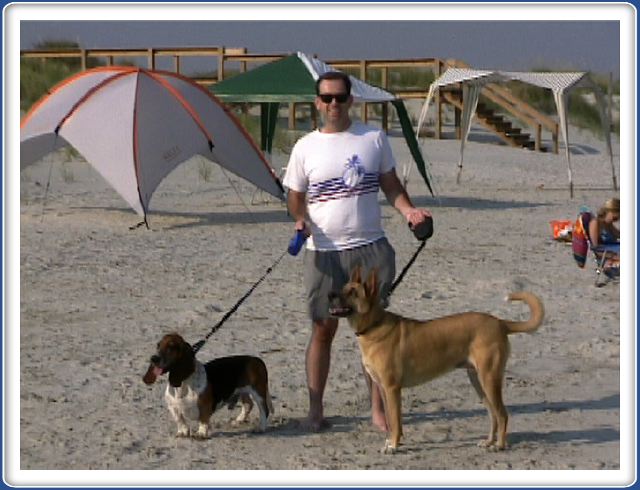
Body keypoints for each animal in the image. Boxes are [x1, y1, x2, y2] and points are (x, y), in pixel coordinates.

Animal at [330, 266, 544, 454]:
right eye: (343, 287)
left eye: (353, 292)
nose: (330, 295)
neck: (373, 325)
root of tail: (500, 322)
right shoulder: (383, 389)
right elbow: (391, 421)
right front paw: (390, 442)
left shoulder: (392, 389)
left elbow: (396, 422)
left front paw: (394, 446)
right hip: (478, 381)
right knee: (493, 414)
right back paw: (489, 441)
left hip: (489, 379)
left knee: (502, 414)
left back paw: (499, 445)